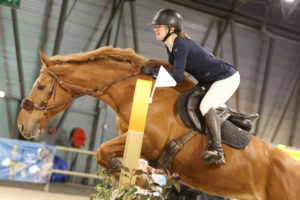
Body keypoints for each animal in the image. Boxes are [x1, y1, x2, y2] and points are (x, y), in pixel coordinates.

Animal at [17, 46, 300, 198]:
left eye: (40, 86)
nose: (21, 125)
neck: (133, 90)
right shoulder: (135, 143)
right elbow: (104, 155)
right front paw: (137, 177)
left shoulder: (149, 142)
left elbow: (102, 151)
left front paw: (140, 180)